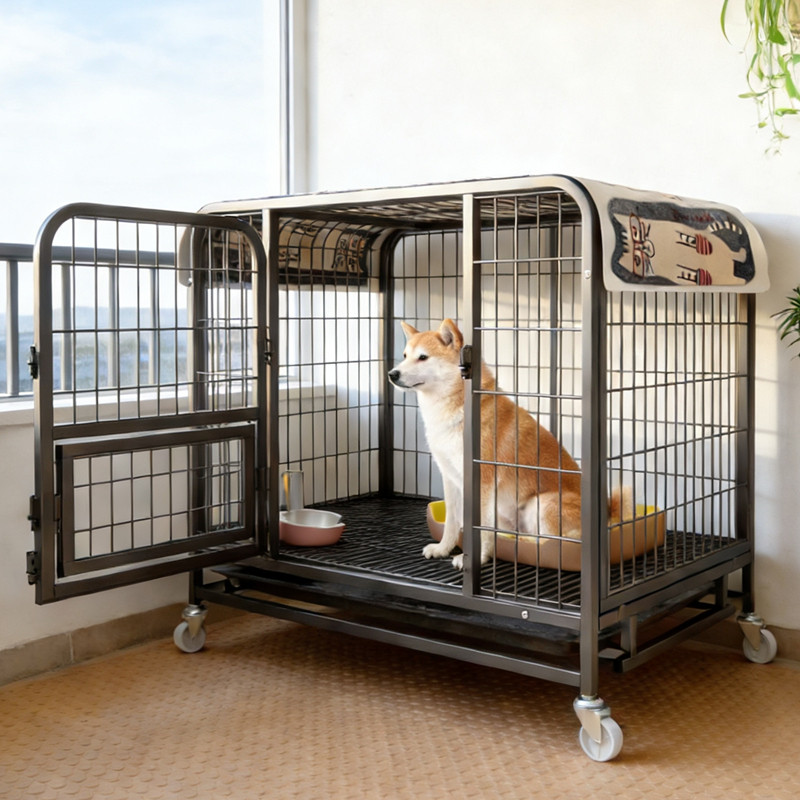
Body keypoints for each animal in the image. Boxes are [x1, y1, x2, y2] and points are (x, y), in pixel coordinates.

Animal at [389, 319, 632, 569]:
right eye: (405, 355)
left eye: (423, 357)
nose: (392, 374)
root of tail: (609, 515)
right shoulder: (451, 477)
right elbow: (452, 522)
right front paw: (443, 548)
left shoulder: (483, 479)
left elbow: (481, 528)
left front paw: (476, 558)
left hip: (543, 504)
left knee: (555, 542)